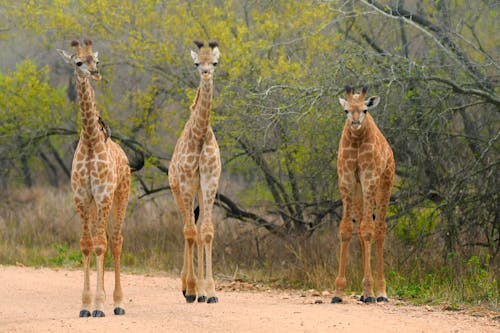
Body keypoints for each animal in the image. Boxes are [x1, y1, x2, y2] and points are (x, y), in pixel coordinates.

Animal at [57, 39, 131, 316]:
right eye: (78, 62)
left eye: (96, 60)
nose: (95, 73)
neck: (90, 140)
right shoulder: (81, 196)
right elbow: (87, 244)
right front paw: (85, 305)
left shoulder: (103, 193)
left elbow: (100, 244)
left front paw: (99, 305)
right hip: (96, 203)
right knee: (106, 238)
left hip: (119, 196)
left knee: (116, 240)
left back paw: (118, 303)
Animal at [332, 84, 394, 302]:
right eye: (346, 110)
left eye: (365, 110)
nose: (356, 123)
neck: (358, 140)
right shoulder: (347, 179)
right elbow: (345, 229)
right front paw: (338, 291)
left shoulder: (370, 178)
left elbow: (369, 229)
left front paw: (369, 290)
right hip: (359, 191)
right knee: (360, 228)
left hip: (384, 183)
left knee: (380, 228)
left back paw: (381, 292)